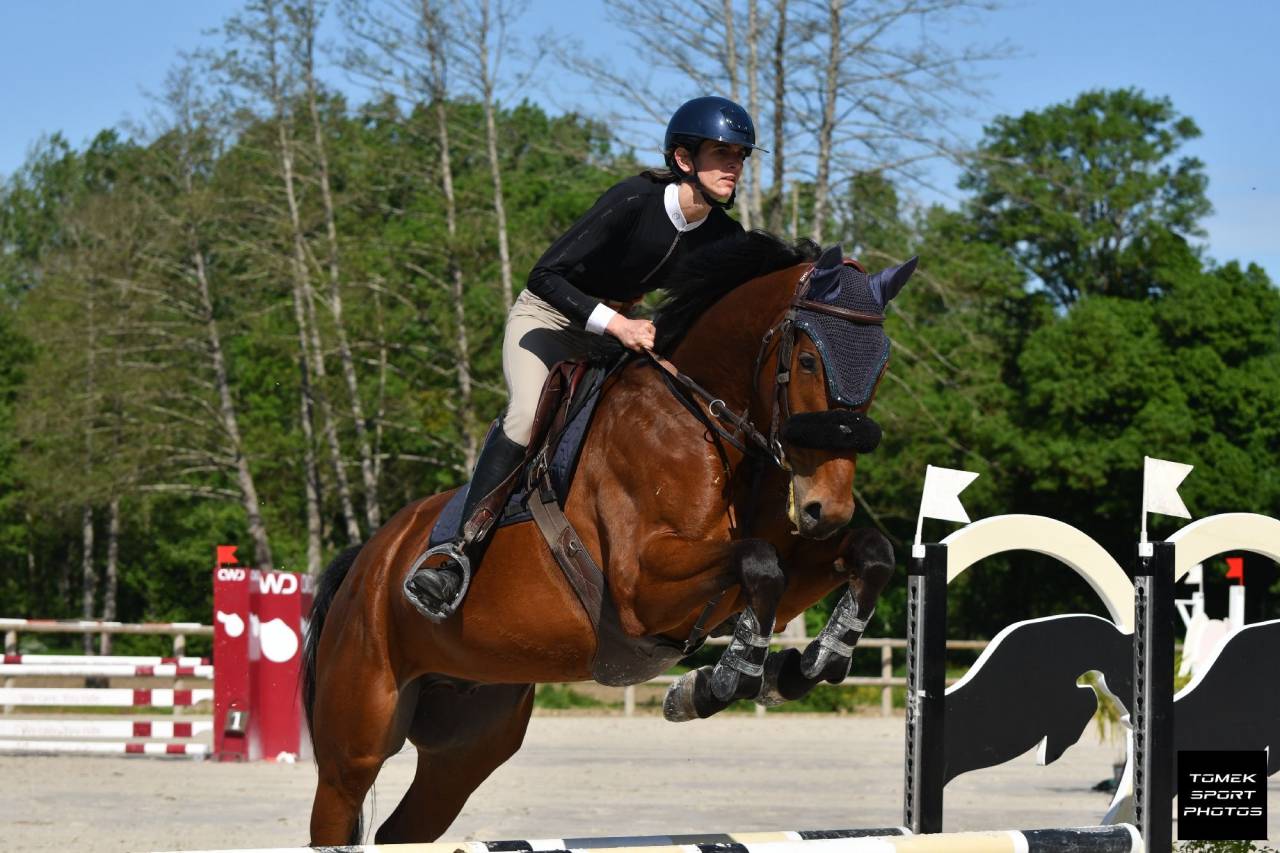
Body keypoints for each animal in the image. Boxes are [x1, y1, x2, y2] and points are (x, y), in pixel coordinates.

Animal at [303, 232, 916, 845]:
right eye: (809, 360)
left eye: (881, 366)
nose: (825, 509)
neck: (704, 422)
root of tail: (367, 561)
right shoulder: (642, 590)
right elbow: (760, 563)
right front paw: (718, 682)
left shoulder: (763, 583)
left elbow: (869, 554)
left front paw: (808, 663)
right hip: (355, 742)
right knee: (338, 807)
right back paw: (438, 578)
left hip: (469, 739)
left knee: (403, 828)